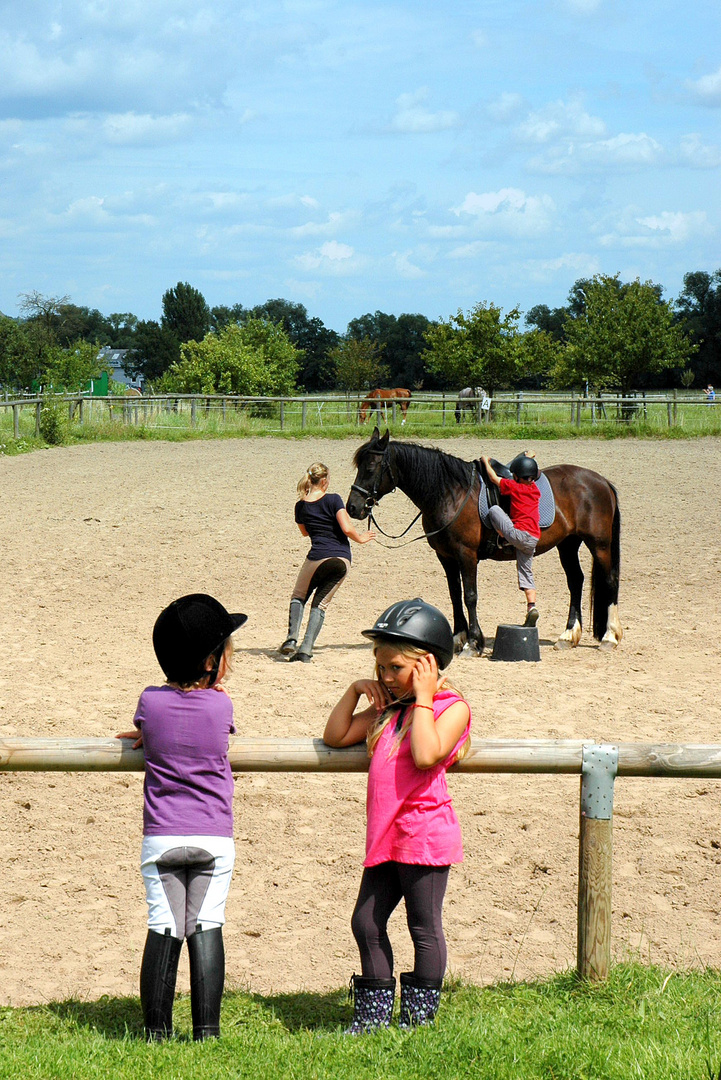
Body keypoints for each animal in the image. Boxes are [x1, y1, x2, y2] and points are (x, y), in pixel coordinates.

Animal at [345, 427, 621, 648]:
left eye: (370, 467)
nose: (353, 508)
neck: (450, 493)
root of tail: (600, 481)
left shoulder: (466, 554)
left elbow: (470, 595)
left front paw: (474, 641)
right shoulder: (446, 557)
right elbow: (454, 594)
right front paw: (458, 637)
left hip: (599, 544)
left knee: (608, 580)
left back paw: (609, 636)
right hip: (568, 544)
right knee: (576, 581)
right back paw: (568, 635)